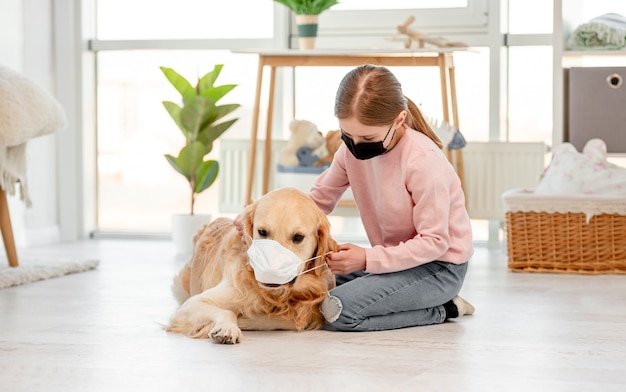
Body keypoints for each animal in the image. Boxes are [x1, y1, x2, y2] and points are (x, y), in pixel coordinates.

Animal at [166, 187, 336, 344]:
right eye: (262, 232)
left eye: (298, 237)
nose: (270, 273)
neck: (274, 296)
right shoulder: (192, 303)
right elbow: (227, 312)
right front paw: (228, 328)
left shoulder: (311, 310)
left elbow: (291, 320)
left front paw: (246, 320)